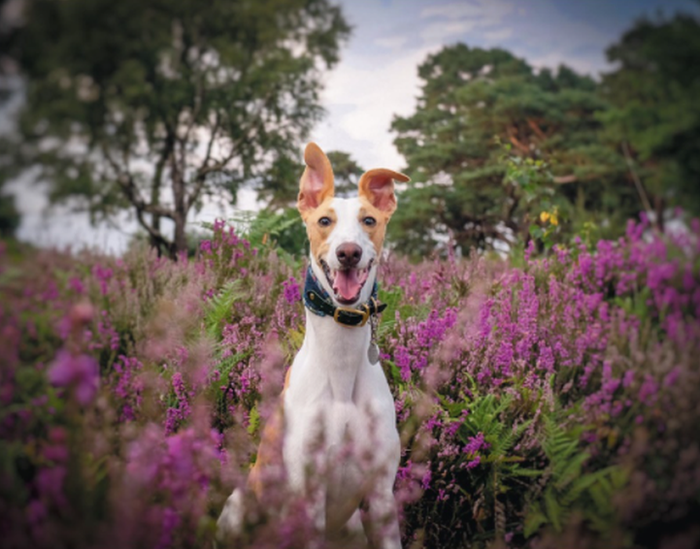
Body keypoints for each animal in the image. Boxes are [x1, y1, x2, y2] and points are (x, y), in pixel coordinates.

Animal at [216, 142, 408, 548]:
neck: (342, 366)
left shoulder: (382, 496)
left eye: (369, 220)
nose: (348, 252)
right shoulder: (309, 496)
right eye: (324, 221)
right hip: (238, 506)